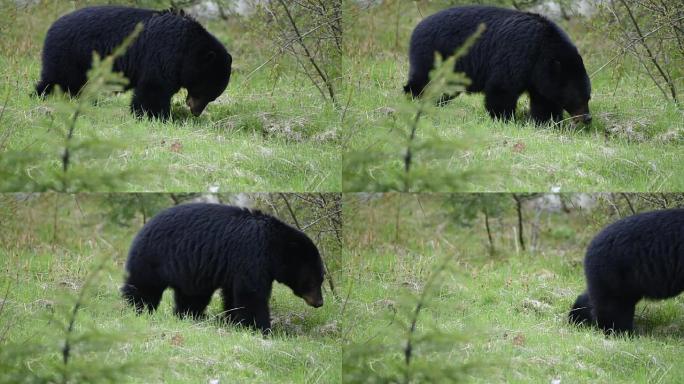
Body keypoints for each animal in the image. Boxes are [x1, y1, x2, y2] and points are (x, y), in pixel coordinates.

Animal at [34, 6, 232, 119]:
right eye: (206, 92)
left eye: (212, 96)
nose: (195, 112)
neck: (187, 49)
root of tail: (52, 27)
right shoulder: (162, 53)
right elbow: (154, 87)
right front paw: (154, 116)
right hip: (73, 54)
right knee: (58, 78)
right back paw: (40, 95)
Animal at [121, 204, 324, 332]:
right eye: (315, 280)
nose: (320, 303)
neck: (274, 247)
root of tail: (143, 228)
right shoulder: (251, 256)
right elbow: (251, 295)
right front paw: (262, 329)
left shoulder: (236, 267)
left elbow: (234, 296)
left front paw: (234, 322)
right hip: (154, 257)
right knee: (143, 288)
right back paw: (136, 310)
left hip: (191, 273)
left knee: (191, 297)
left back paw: (190, 317)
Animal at [404, 5, 592, 124]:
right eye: (577, 98)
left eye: (588, 96)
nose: (587, 118)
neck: (543, 50)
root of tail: (417, 27)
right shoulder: (517, 55)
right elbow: (502, 88)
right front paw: (505, 118)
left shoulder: (540, 76)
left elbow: (544, 100)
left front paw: (547, 121)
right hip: (434, 54)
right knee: (423, 79)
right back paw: (414, 98)